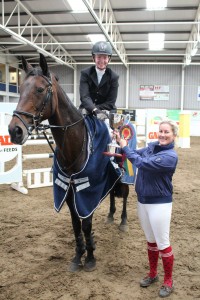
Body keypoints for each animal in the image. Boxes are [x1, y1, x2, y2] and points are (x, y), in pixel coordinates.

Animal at [8, 53, 130, 272]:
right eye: (20, 89)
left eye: (40, 89)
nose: (15, 131)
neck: (75, 146)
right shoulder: (69, 190)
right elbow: (75, 224)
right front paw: (78, 255)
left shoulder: (87, 191)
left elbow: (86, 223)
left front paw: (90, 258)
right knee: (111, 195)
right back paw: (110, 216)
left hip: (124, 174)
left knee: (124, 195)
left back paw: (123, 221)